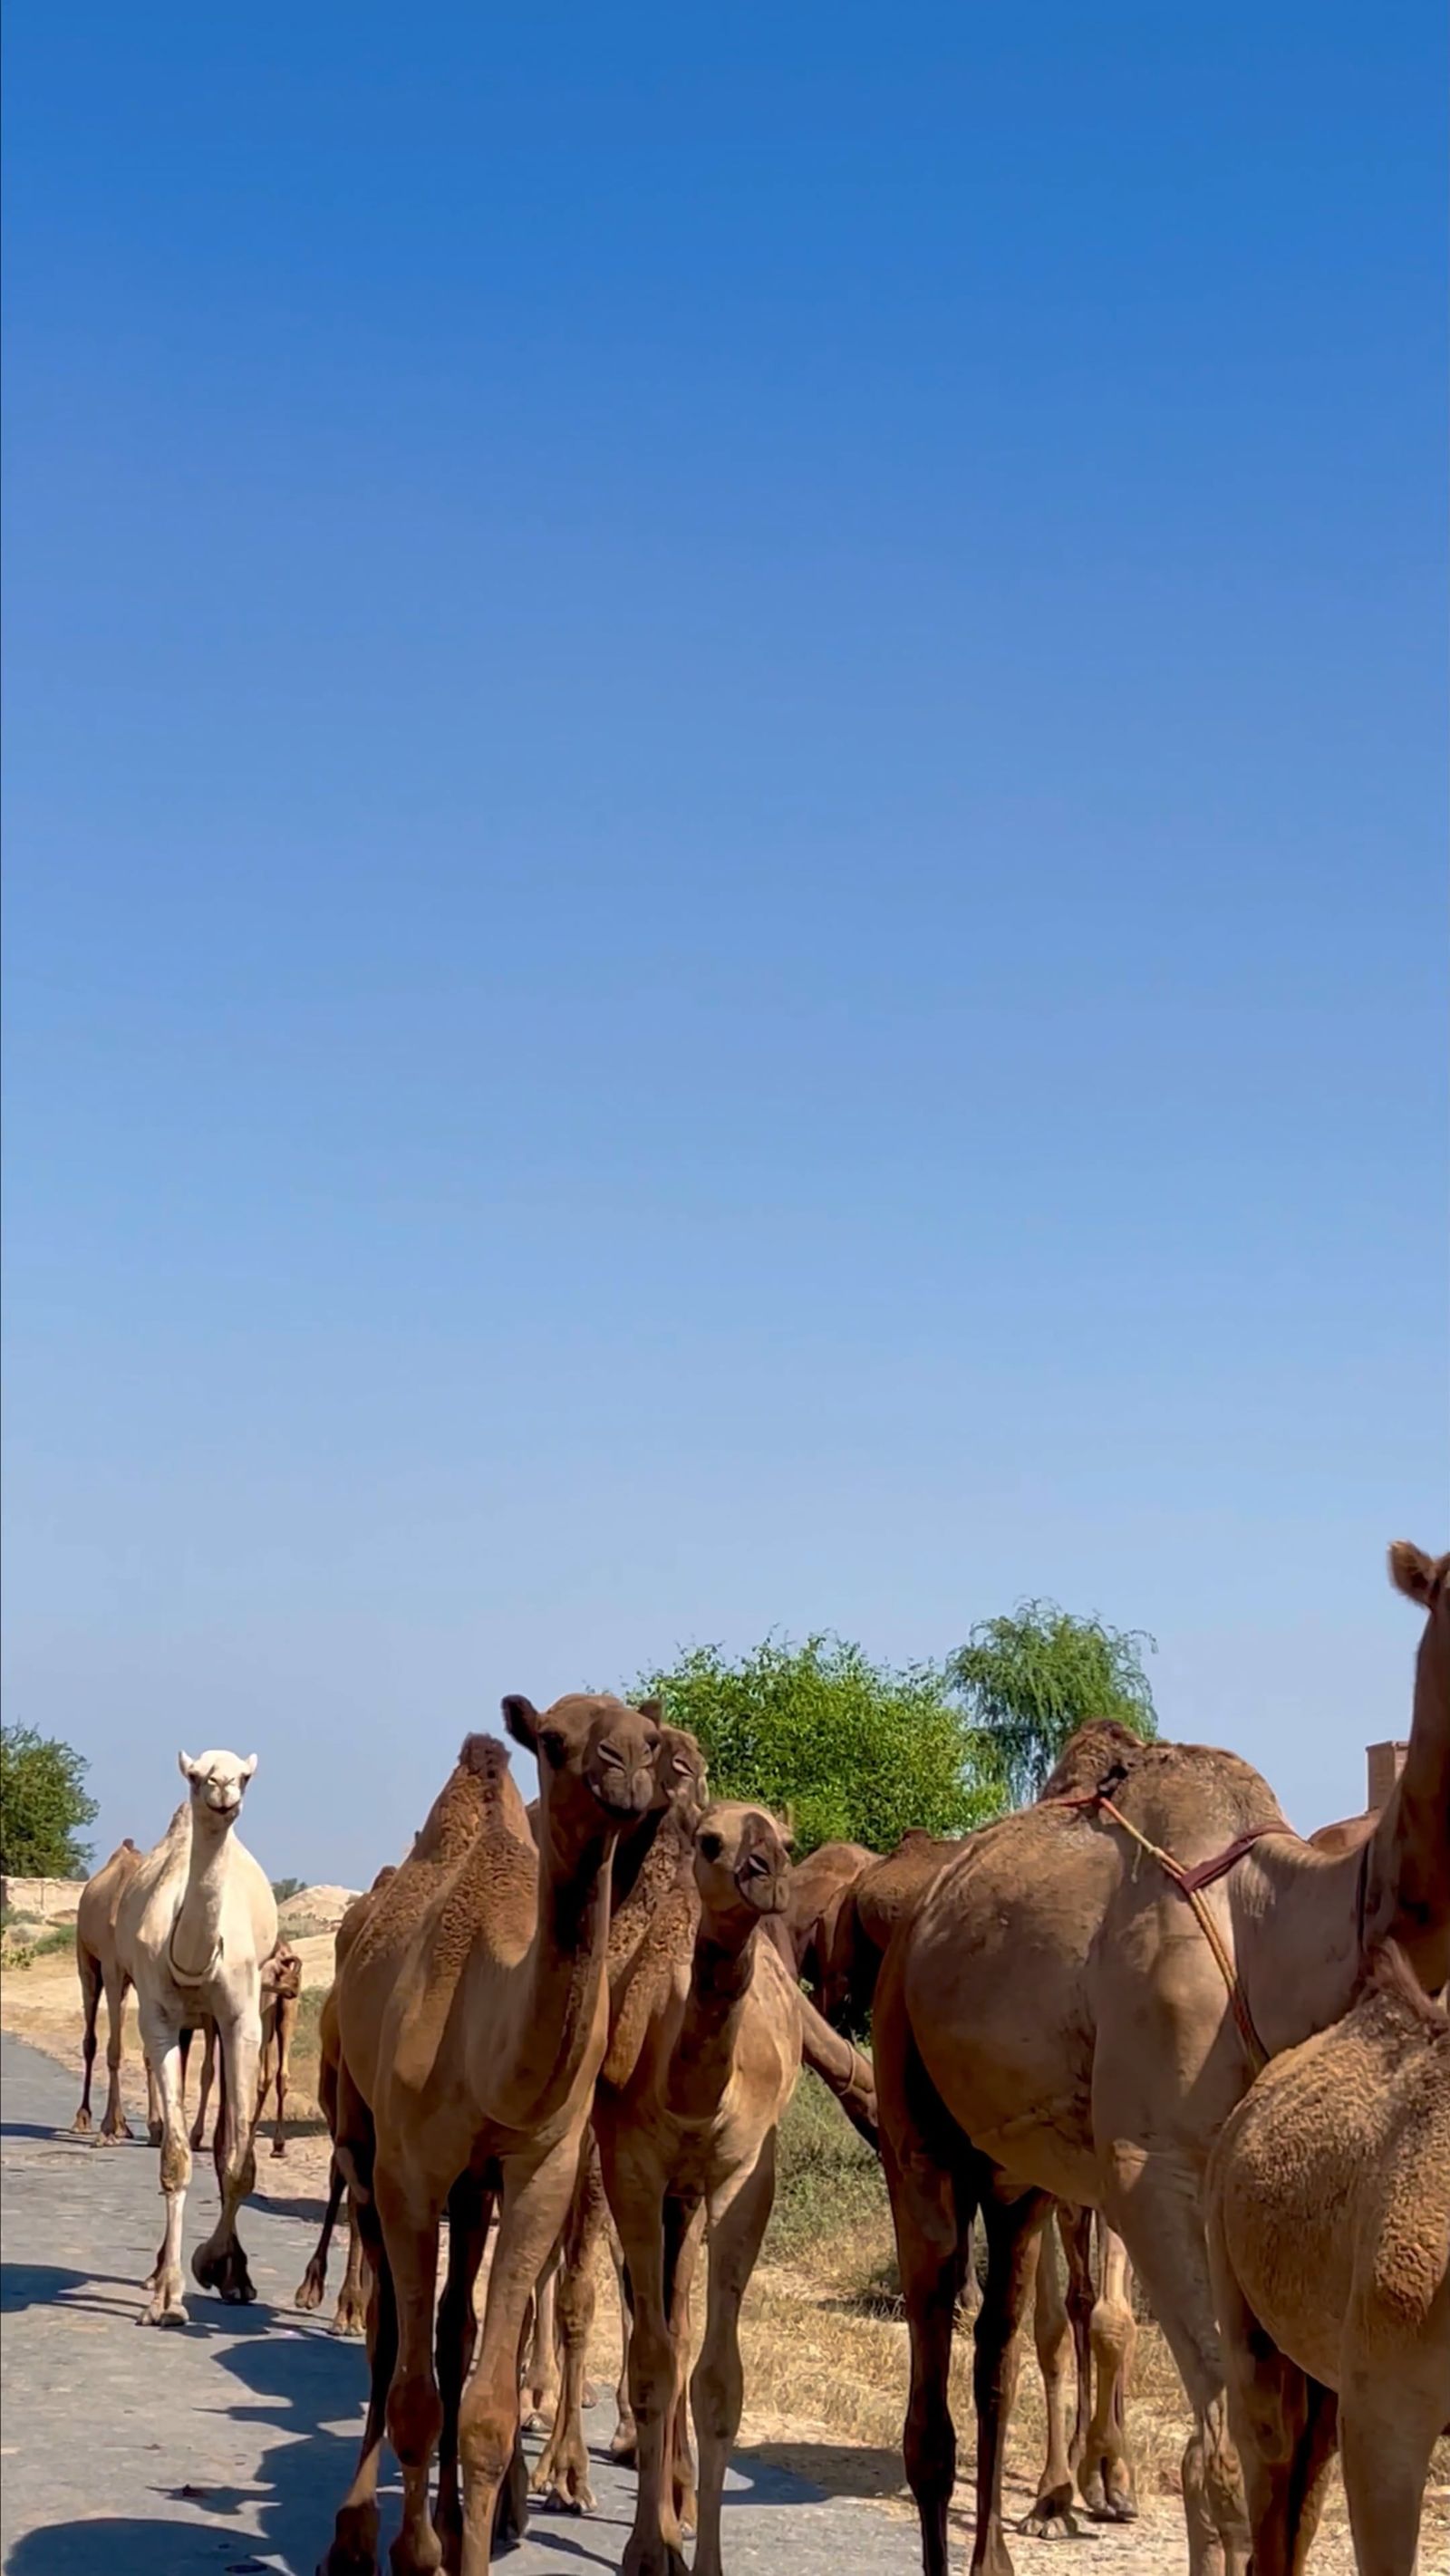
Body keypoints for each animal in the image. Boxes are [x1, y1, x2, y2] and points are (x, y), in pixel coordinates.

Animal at [116, 1749, 277, 2325]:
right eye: (195, 1775)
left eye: (245, 1775)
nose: (222, 1789)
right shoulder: (160, 2022)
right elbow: (176, 2156)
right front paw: (167, 2297)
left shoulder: (245, 2019)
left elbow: (238, 2163)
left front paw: (219, 2267)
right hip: (188, 2026)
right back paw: (159, 2270)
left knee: (231, 2133)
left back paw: (234, 2272)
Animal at [320, 1692, 666, 2576]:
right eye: (557, 1739)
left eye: (651, 1739)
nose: (625, 1767)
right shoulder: (409, 2172)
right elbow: (411, 2393)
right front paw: (410, 2552)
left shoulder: (539, 2166)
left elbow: (485, 2409)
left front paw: (459, 2543)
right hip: (365, 2144)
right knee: (390, 2338)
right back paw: (355, 2534)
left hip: (475, 2190)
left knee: (454, 2330)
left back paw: (445, 2521)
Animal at [594, 1799, 807, 2576]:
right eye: (713, 1841)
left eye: (786, 1839)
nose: (766, 1871)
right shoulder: (630, 2165)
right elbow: (651, 2363)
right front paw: (645, 2549)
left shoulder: (745, 2173)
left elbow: (719, 2377)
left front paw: (701, 2553)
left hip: (689, 2197)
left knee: (682, 2328)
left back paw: (680, 2501)